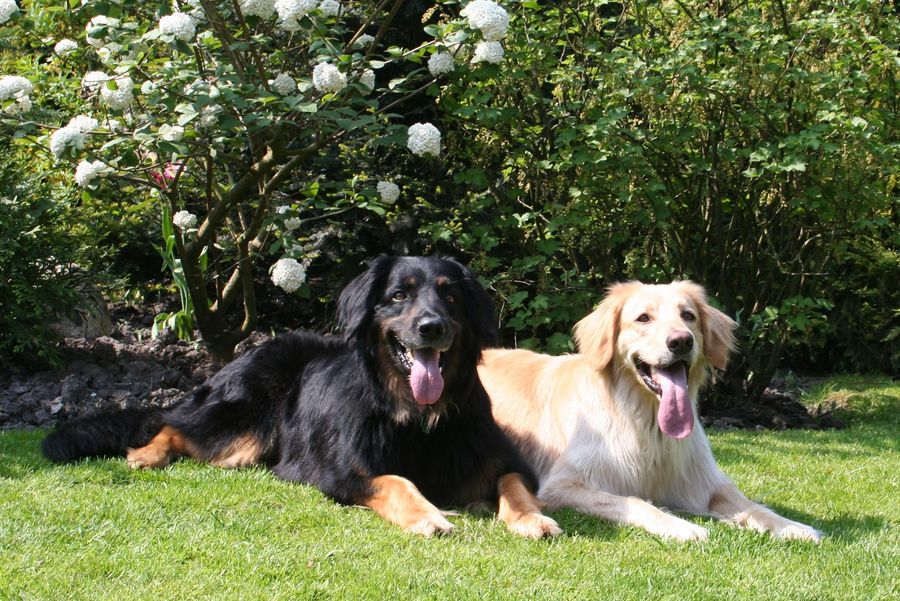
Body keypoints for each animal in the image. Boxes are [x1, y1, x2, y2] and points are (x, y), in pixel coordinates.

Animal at [43, 256, 561, 539]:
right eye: (399, 295)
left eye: (451, 298)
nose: (431, 327)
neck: (416, 417)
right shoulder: (341, 473)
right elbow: (397, 480)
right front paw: (429, 515)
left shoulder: (504, 460)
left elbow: (514, 484)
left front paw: (532, 519)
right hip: (239, 425)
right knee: (173, 424)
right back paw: (146, 454)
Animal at [478, 280, 821, 542]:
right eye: (643, 318)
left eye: (688, 315)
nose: (681, 341)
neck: (644, 421)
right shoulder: (562, 484)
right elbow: (637, 502)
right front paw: (682, 526)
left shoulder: (702, 481)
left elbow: (752, 506)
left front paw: (793, 526)